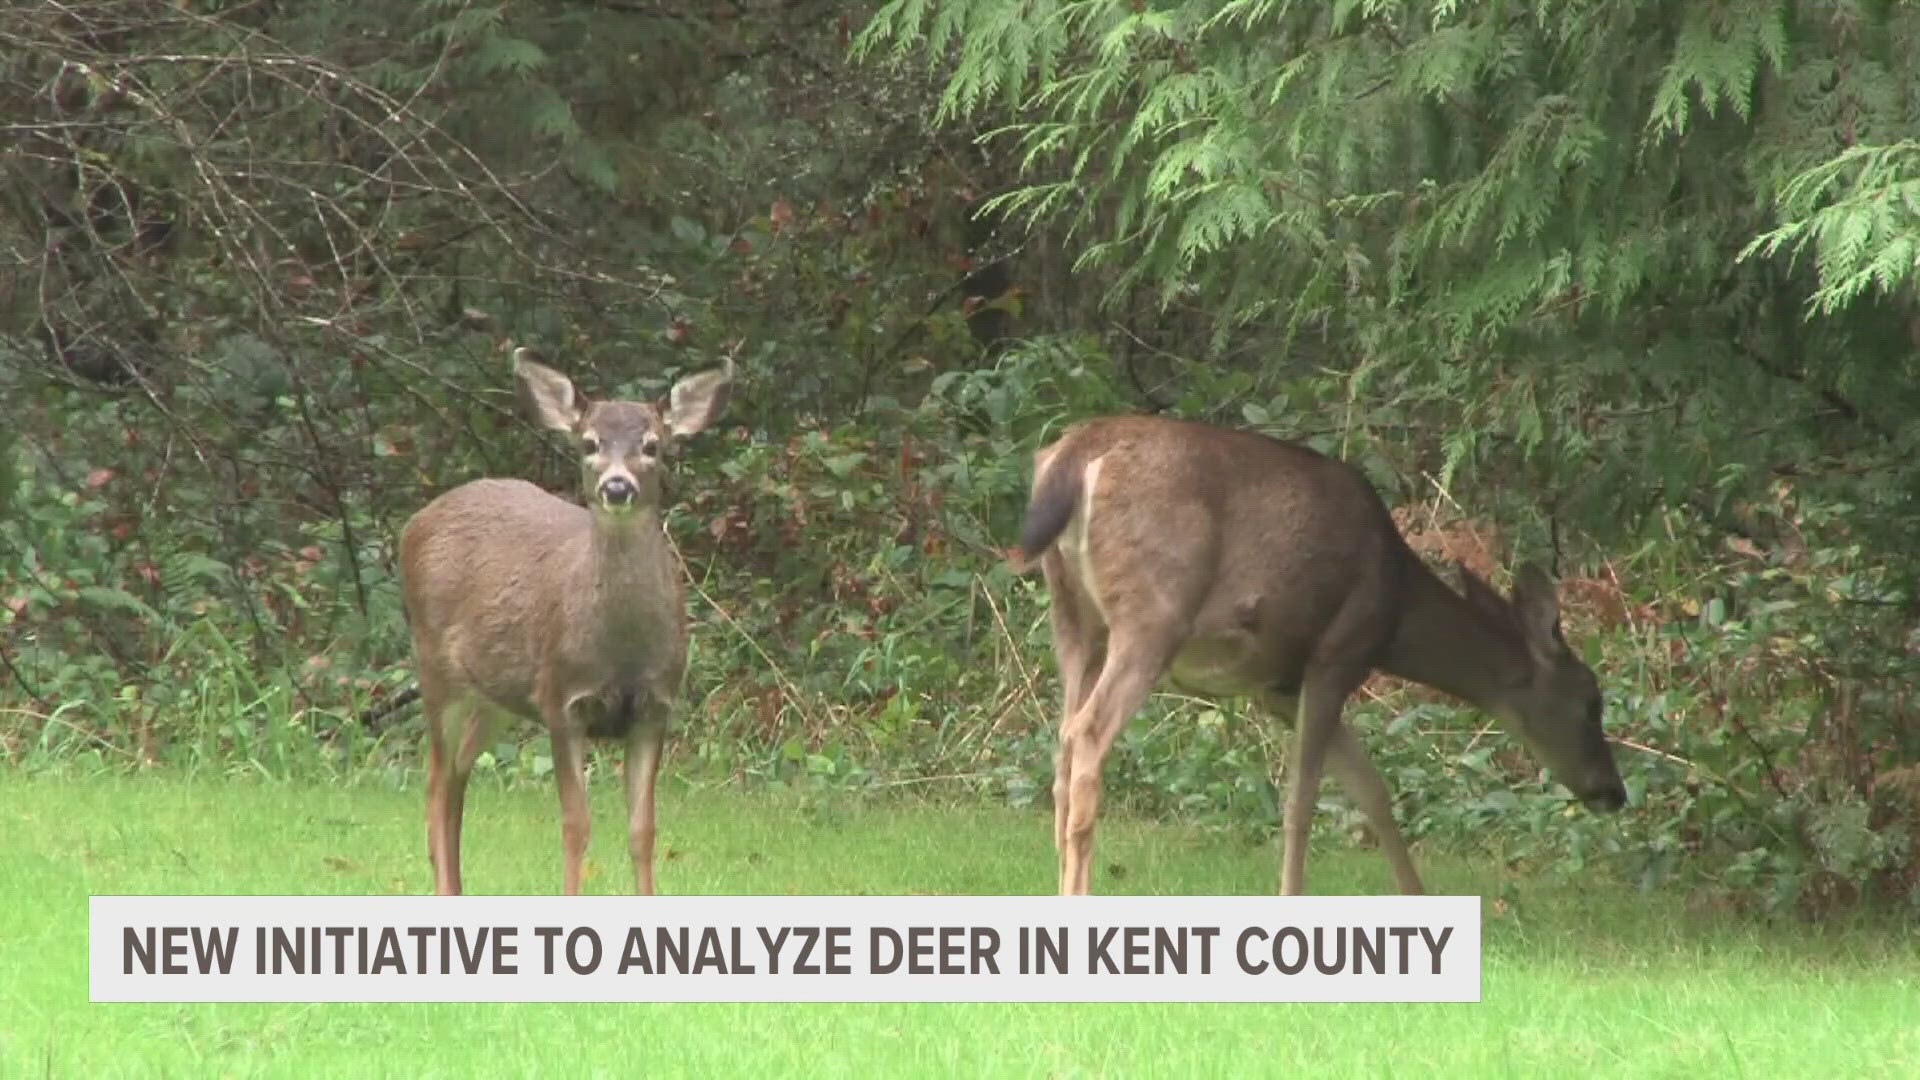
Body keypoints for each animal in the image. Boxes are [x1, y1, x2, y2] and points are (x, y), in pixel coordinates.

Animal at [397, 343, 733, 891]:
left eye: (653, 446)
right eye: (589, 443)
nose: (617, 487)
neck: (621, 651)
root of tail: (414, 523)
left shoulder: (655, 708)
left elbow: (644, 831)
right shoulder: (561, 700)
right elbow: (576, 825)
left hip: (497, 695)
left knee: (459, 773)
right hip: (434, 669)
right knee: (436, 781)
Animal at [1013, 411, 1628, 891]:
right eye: (1590, 700)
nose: (1614, 792)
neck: (1396, 611)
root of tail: (1073, 455)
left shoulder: (1278, 686)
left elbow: (1372, 791)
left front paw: (1416, 896)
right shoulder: (1338, 652)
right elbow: (1302, 802)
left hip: (1073, 617)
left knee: (1062, 739)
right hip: (1153, 612)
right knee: (1088, 732)